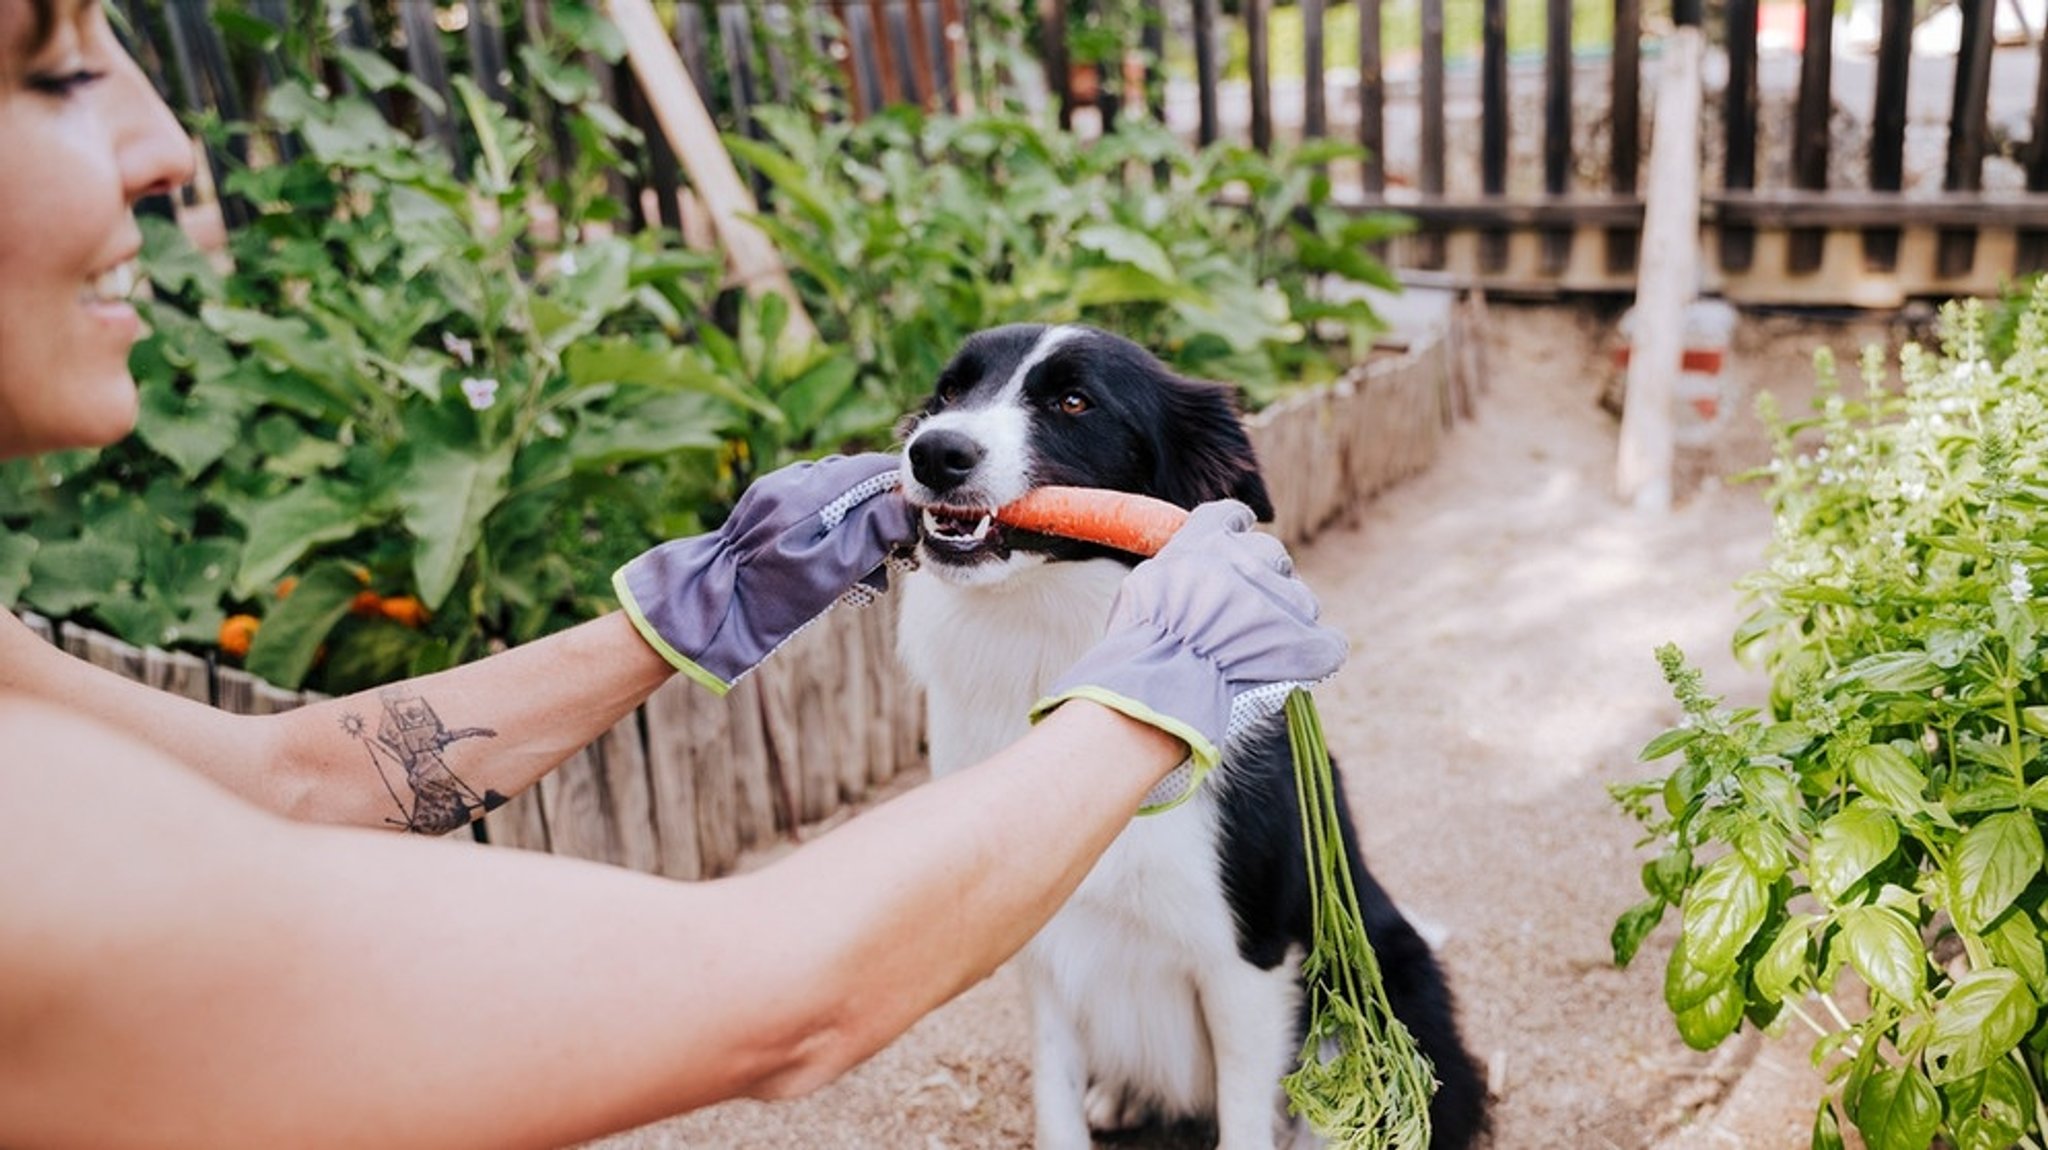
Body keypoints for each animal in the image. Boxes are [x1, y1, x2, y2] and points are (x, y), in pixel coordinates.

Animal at [897, 323, 1490, 1145]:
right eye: (951, 390)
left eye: (1074, 402)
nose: (932, 451)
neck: (1052, 644)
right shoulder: (1042, 943)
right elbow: (1054, 1096)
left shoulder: (1245, 960)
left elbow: (1244, 1118)